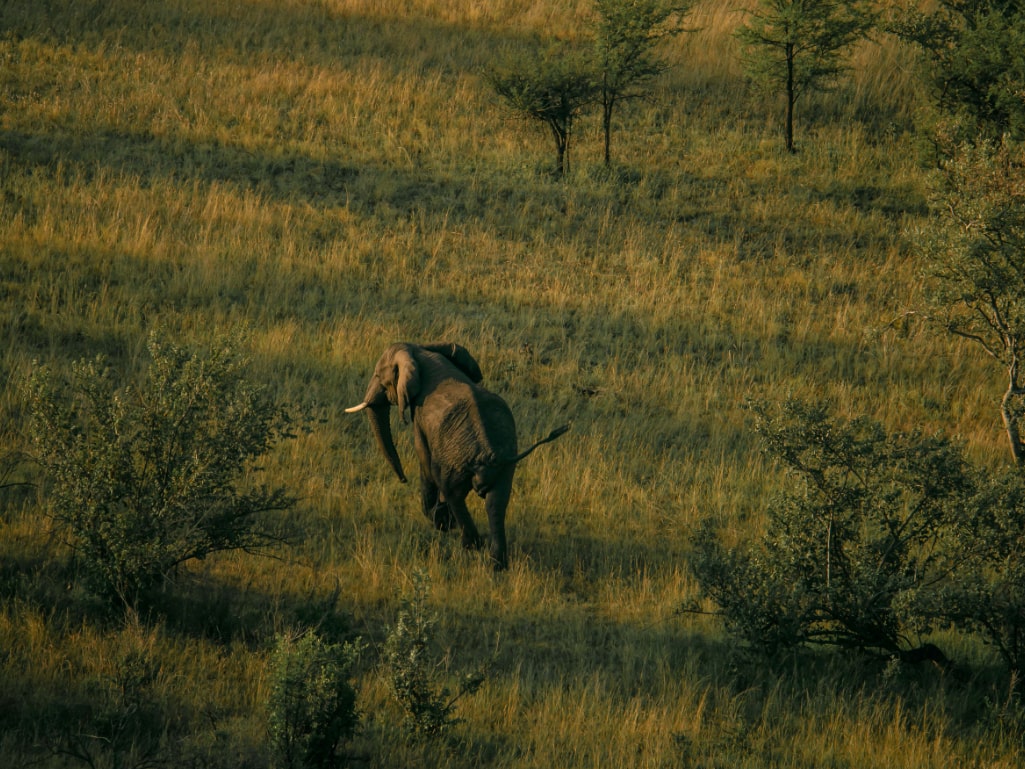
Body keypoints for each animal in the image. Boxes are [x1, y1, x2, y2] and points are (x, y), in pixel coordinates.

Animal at [344, 342, 569, 574]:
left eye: (379, 376)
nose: (403, 480)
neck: (422, 352)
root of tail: (488, 455)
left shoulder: (420, 417)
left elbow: (423, 458)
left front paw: (434, 517)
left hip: (457, 462)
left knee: (453, 492)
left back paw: (465, 540)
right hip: (505, 464)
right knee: (496, 504)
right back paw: (496, 565)